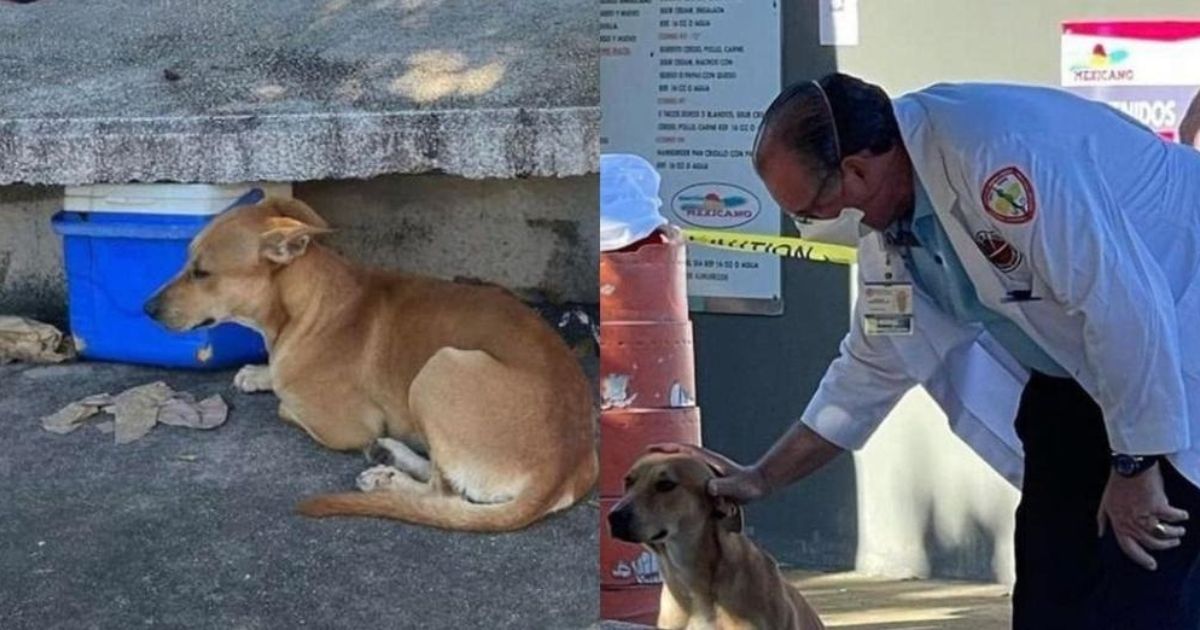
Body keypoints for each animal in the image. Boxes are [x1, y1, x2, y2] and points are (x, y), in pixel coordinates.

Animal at [145, 196, 595, 530]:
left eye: (201, 273)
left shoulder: (345, 426)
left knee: (442, 492)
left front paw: (273, 381)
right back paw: (390, 455)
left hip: (439, 368)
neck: (311, 304)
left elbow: (285, 405)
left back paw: (387, 477)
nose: (146, 309)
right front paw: (259, 373)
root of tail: (561, 470)